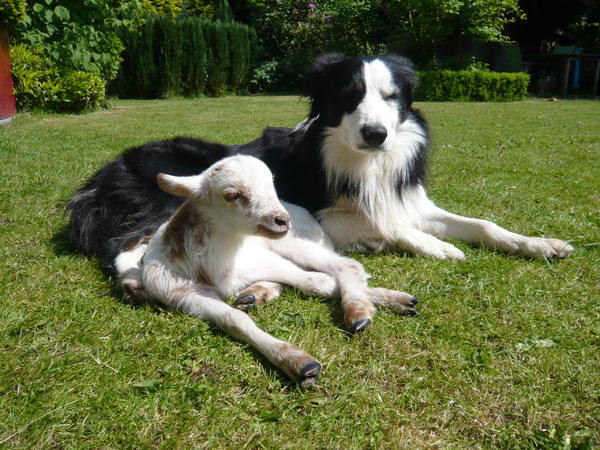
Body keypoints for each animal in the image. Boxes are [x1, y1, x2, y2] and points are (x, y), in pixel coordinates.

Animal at [65, 51, 572, 274]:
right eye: (349, 94)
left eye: (392, 96)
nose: (376, 134)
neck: (362, 161)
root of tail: (97, 180)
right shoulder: (321, 213)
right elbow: (387, 226)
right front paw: (435, 247)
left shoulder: (408, 201)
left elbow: (481, 224)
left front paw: (539, 243)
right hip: (169, 201)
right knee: (123, 251)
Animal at [116, 156, 418, 386]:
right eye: (232, 195)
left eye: (271, 185)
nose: (282, 220)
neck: (217, 264)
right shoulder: (181, 293)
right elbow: (233, 319)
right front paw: (298, 362)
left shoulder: (265, 259)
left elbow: (317, 281)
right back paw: (255, 294)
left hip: (294, 243)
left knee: (343, 266)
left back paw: (360, 311)